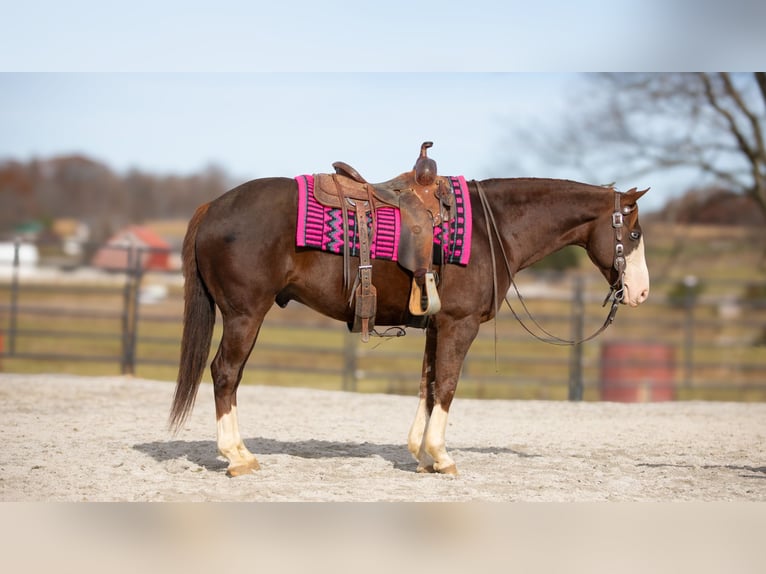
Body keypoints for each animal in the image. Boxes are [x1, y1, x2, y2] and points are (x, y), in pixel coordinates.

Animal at [171, 174, 652, 476]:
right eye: (633, 235)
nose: (641, 293)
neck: (492, 229)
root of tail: (212, 206)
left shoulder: (437, 326)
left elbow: (428, 384)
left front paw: (422, 455)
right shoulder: (459, 325)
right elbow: (448, 386)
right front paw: (441, 457)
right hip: (244, 314)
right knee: (225, 374)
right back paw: (237, 457)